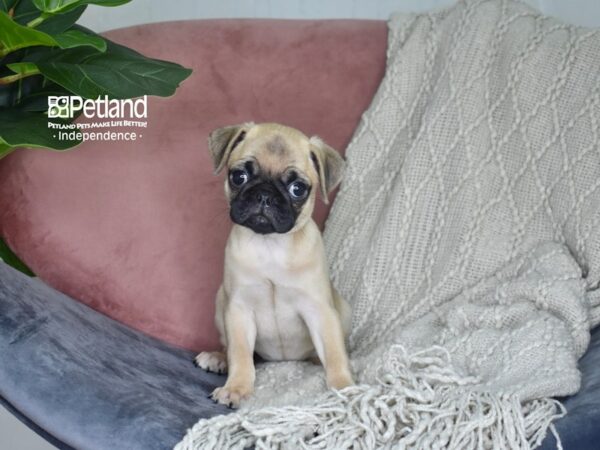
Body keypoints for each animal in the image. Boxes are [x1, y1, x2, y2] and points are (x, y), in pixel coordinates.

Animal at [197, 120, 354, 408]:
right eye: (239, 177)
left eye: (297, 189)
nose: (264, 196)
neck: (270, 245)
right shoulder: (238, 310)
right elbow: (241, 354)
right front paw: (236, 387)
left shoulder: (320, 311)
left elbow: (334, 352)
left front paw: (344, 386)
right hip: (219, 303)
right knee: (234, 349)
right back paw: (218, 358)